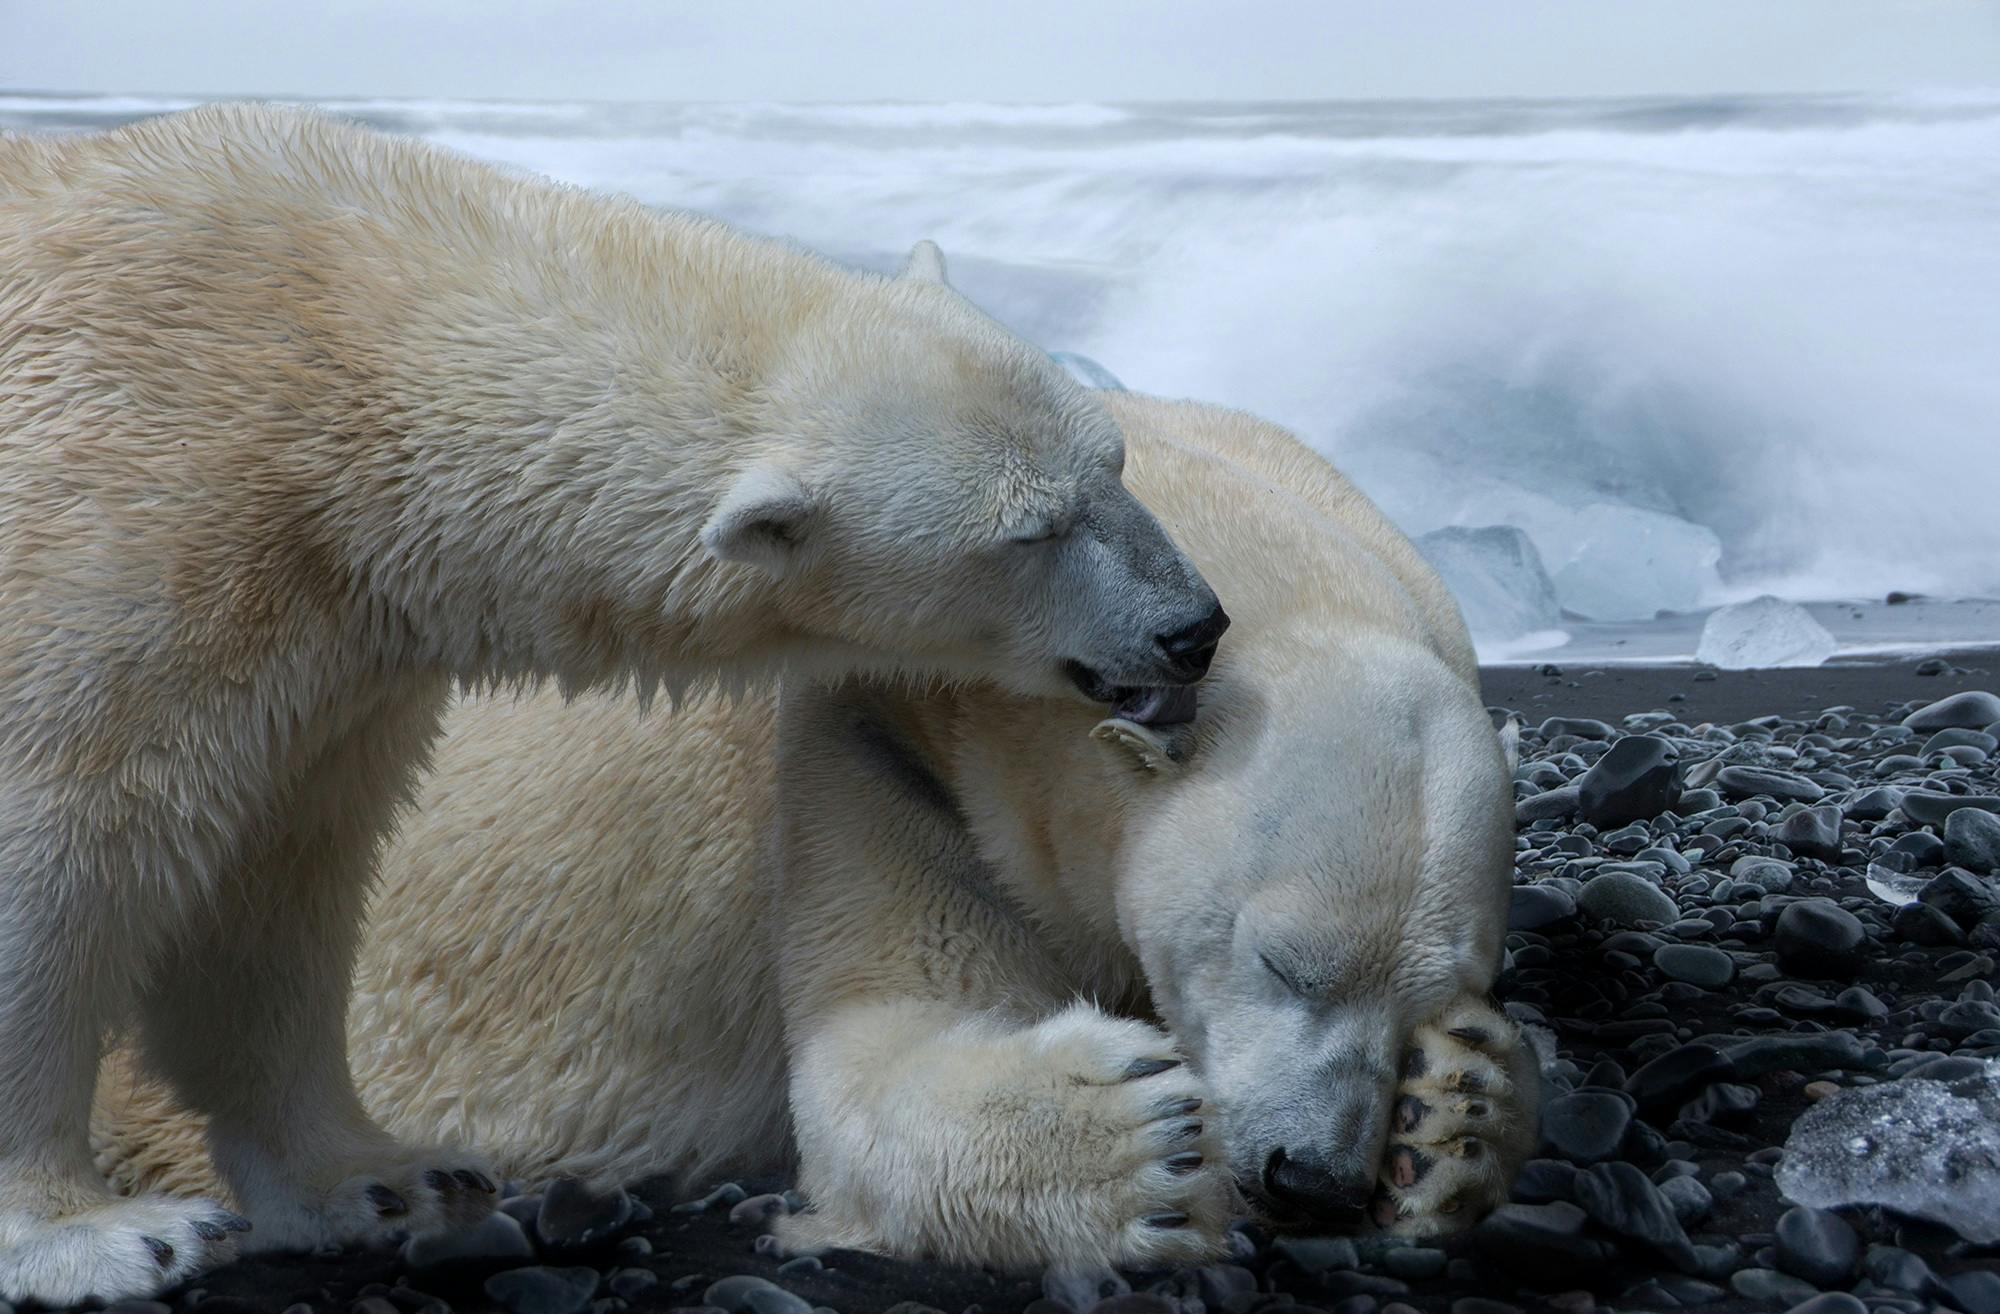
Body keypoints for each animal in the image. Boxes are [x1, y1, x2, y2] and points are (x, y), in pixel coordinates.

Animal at [0, 105, 1224, 1304]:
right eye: (1031, 531)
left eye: (1115, 461)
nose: (1193, 625)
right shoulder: (127, 526)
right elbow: (57, 854)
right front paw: (96, 1236)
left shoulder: (328, 650)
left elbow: (274, 888)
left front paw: (382, 1180)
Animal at [94, 390, 1536, 1272]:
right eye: (1279, 960)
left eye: (1440, 985)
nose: (1310, 1174)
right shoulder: (872, 744)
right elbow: (882, 1047)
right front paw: (1139, 1140)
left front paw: (1456, 1111)